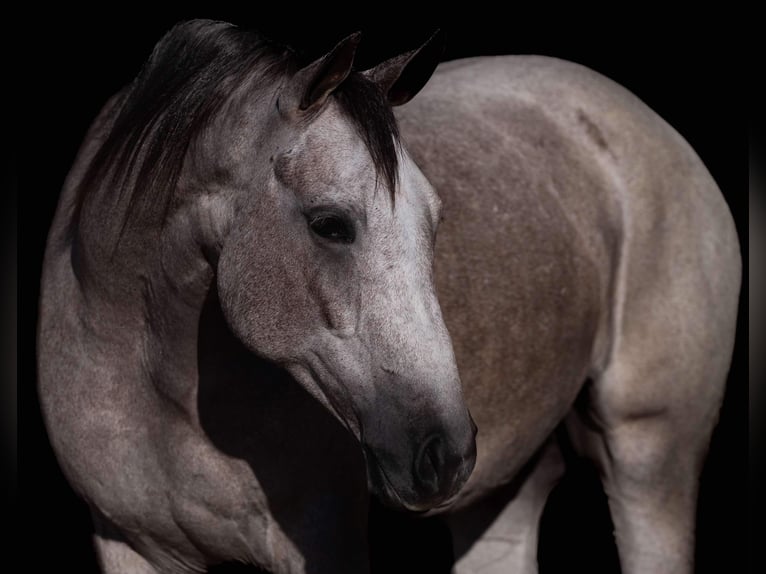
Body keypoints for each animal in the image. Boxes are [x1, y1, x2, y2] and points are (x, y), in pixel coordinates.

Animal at [37, 19, 744, 574]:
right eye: (330, 224)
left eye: (435, 220)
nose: (445, 453)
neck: (155, 385)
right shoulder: (128, 545)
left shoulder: (322, 544)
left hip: (650, 458)